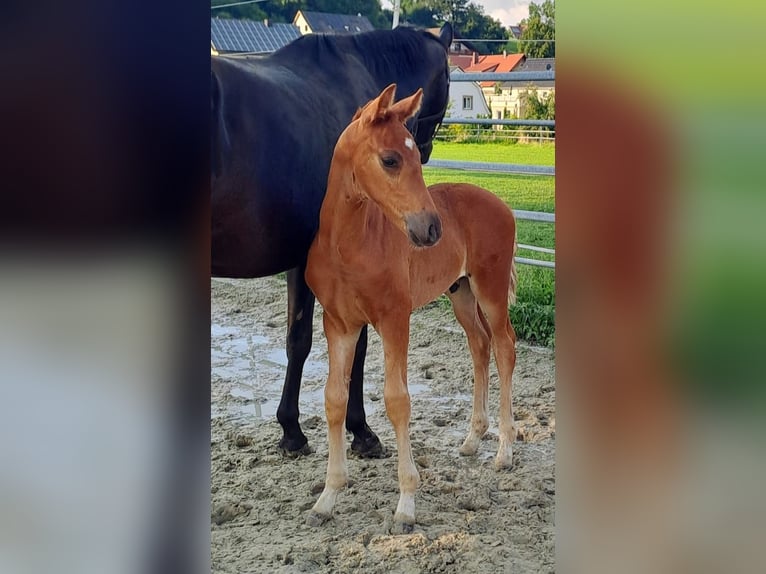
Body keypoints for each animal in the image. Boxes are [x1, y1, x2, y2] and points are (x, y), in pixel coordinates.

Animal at [210, 24, 452, 456]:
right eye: (450, 77)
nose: (423, 152)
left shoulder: (301, 262)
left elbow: (296, 339)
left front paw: (290, 428)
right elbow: (348, 346)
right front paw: (358, 430)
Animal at [304, 85, 516, 536]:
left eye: (418, 156)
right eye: (390, 159)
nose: (432, 229)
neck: (348, 243)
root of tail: (504, 205)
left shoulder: (394, 319)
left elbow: (397, 400)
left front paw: (405, 506)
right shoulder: (338, 324)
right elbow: (334, 398)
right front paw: (327, 498)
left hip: (489, 290)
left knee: (505, 347)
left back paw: (504, 451)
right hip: (461, 292)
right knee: (479, 345)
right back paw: (472, 439)